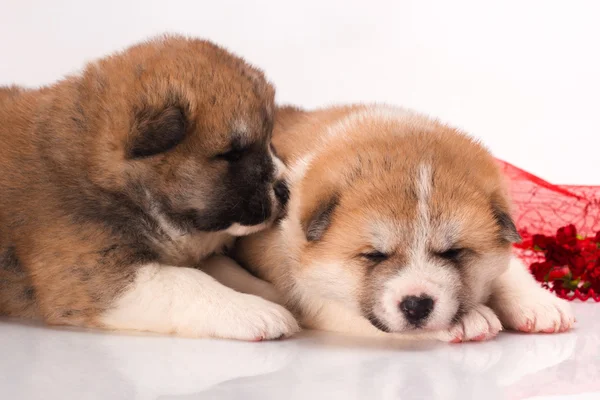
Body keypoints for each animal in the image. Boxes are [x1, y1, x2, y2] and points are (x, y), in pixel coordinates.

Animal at [0, 35, 300, 340]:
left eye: (269, 141)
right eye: (233, 154)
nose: (286, 190)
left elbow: (228, 270)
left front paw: (275, 294)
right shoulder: (93, 271)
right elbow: (188, 280)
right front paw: (255, 311)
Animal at [227, 104, 576, 342]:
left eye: (453, 253)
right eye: (374, 255)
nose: (417, 305)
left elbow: (509, 268)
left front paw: (539, 303)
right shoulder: (311, 297)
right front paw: (472, 319)